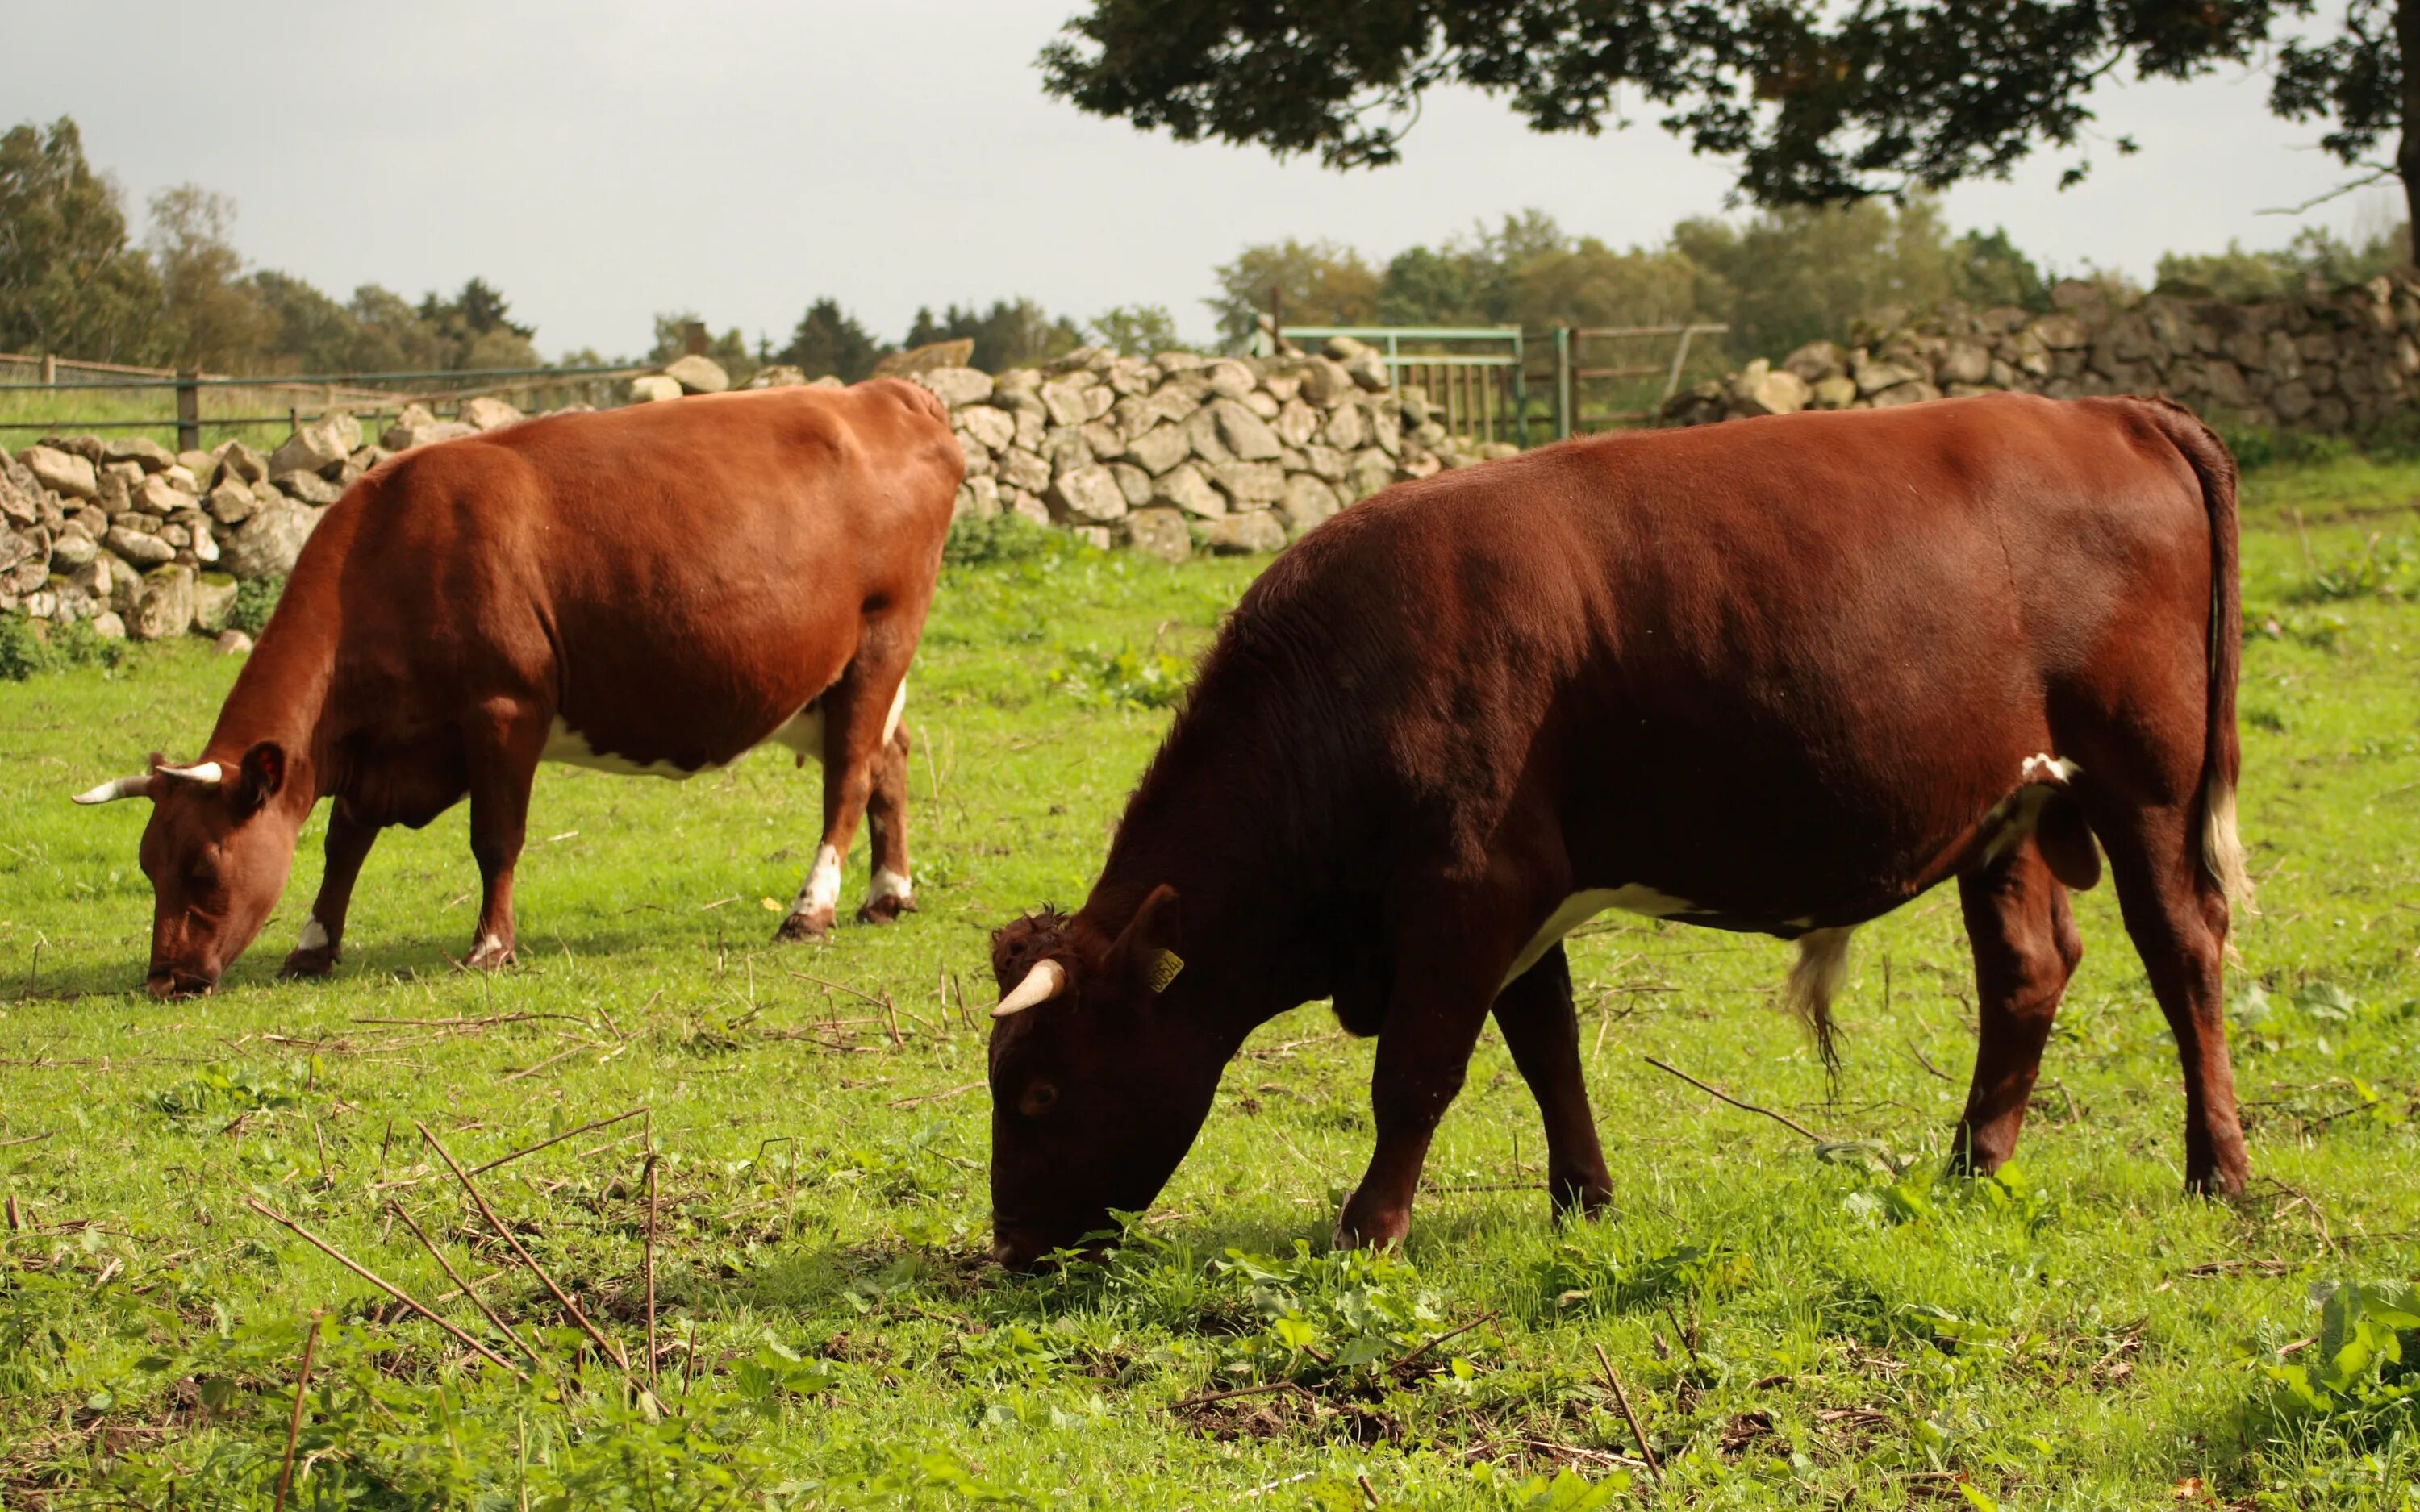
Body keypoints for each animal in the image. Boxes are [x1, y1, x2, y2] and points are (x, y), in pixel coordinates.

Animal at [69, 380, 953, 992]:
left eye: (205, 867)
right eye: (148, 862)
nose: (165, 979)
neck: (386, 552)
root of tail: (887, 394)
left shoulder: (502, 710)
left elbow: (494, 839)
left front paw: (490, 946)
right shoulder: (380, 745)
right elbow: (342, 842)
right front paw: (314, 945)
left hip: (880, 643)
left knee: (849, 779)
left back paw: (812, 911)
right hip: (841, 680)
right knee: (889, 761)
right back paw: (887, 894)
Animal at [983, 394, 2246, 1268]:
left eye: (1039, 1091)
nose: (1010, 1244)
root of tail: (2110, 411)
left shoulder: (1470, 888)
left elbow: (1416, 1074)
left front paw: (1369, 1230)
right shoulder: (1521, 902)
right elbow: (1550, 1051)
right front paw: (1583, 1199)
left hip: (2146, 779)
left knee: (2183, 952)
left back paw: (2219, 1169)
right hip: (2011, 806)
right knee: (2027, 970)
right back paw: (1974, 1166)